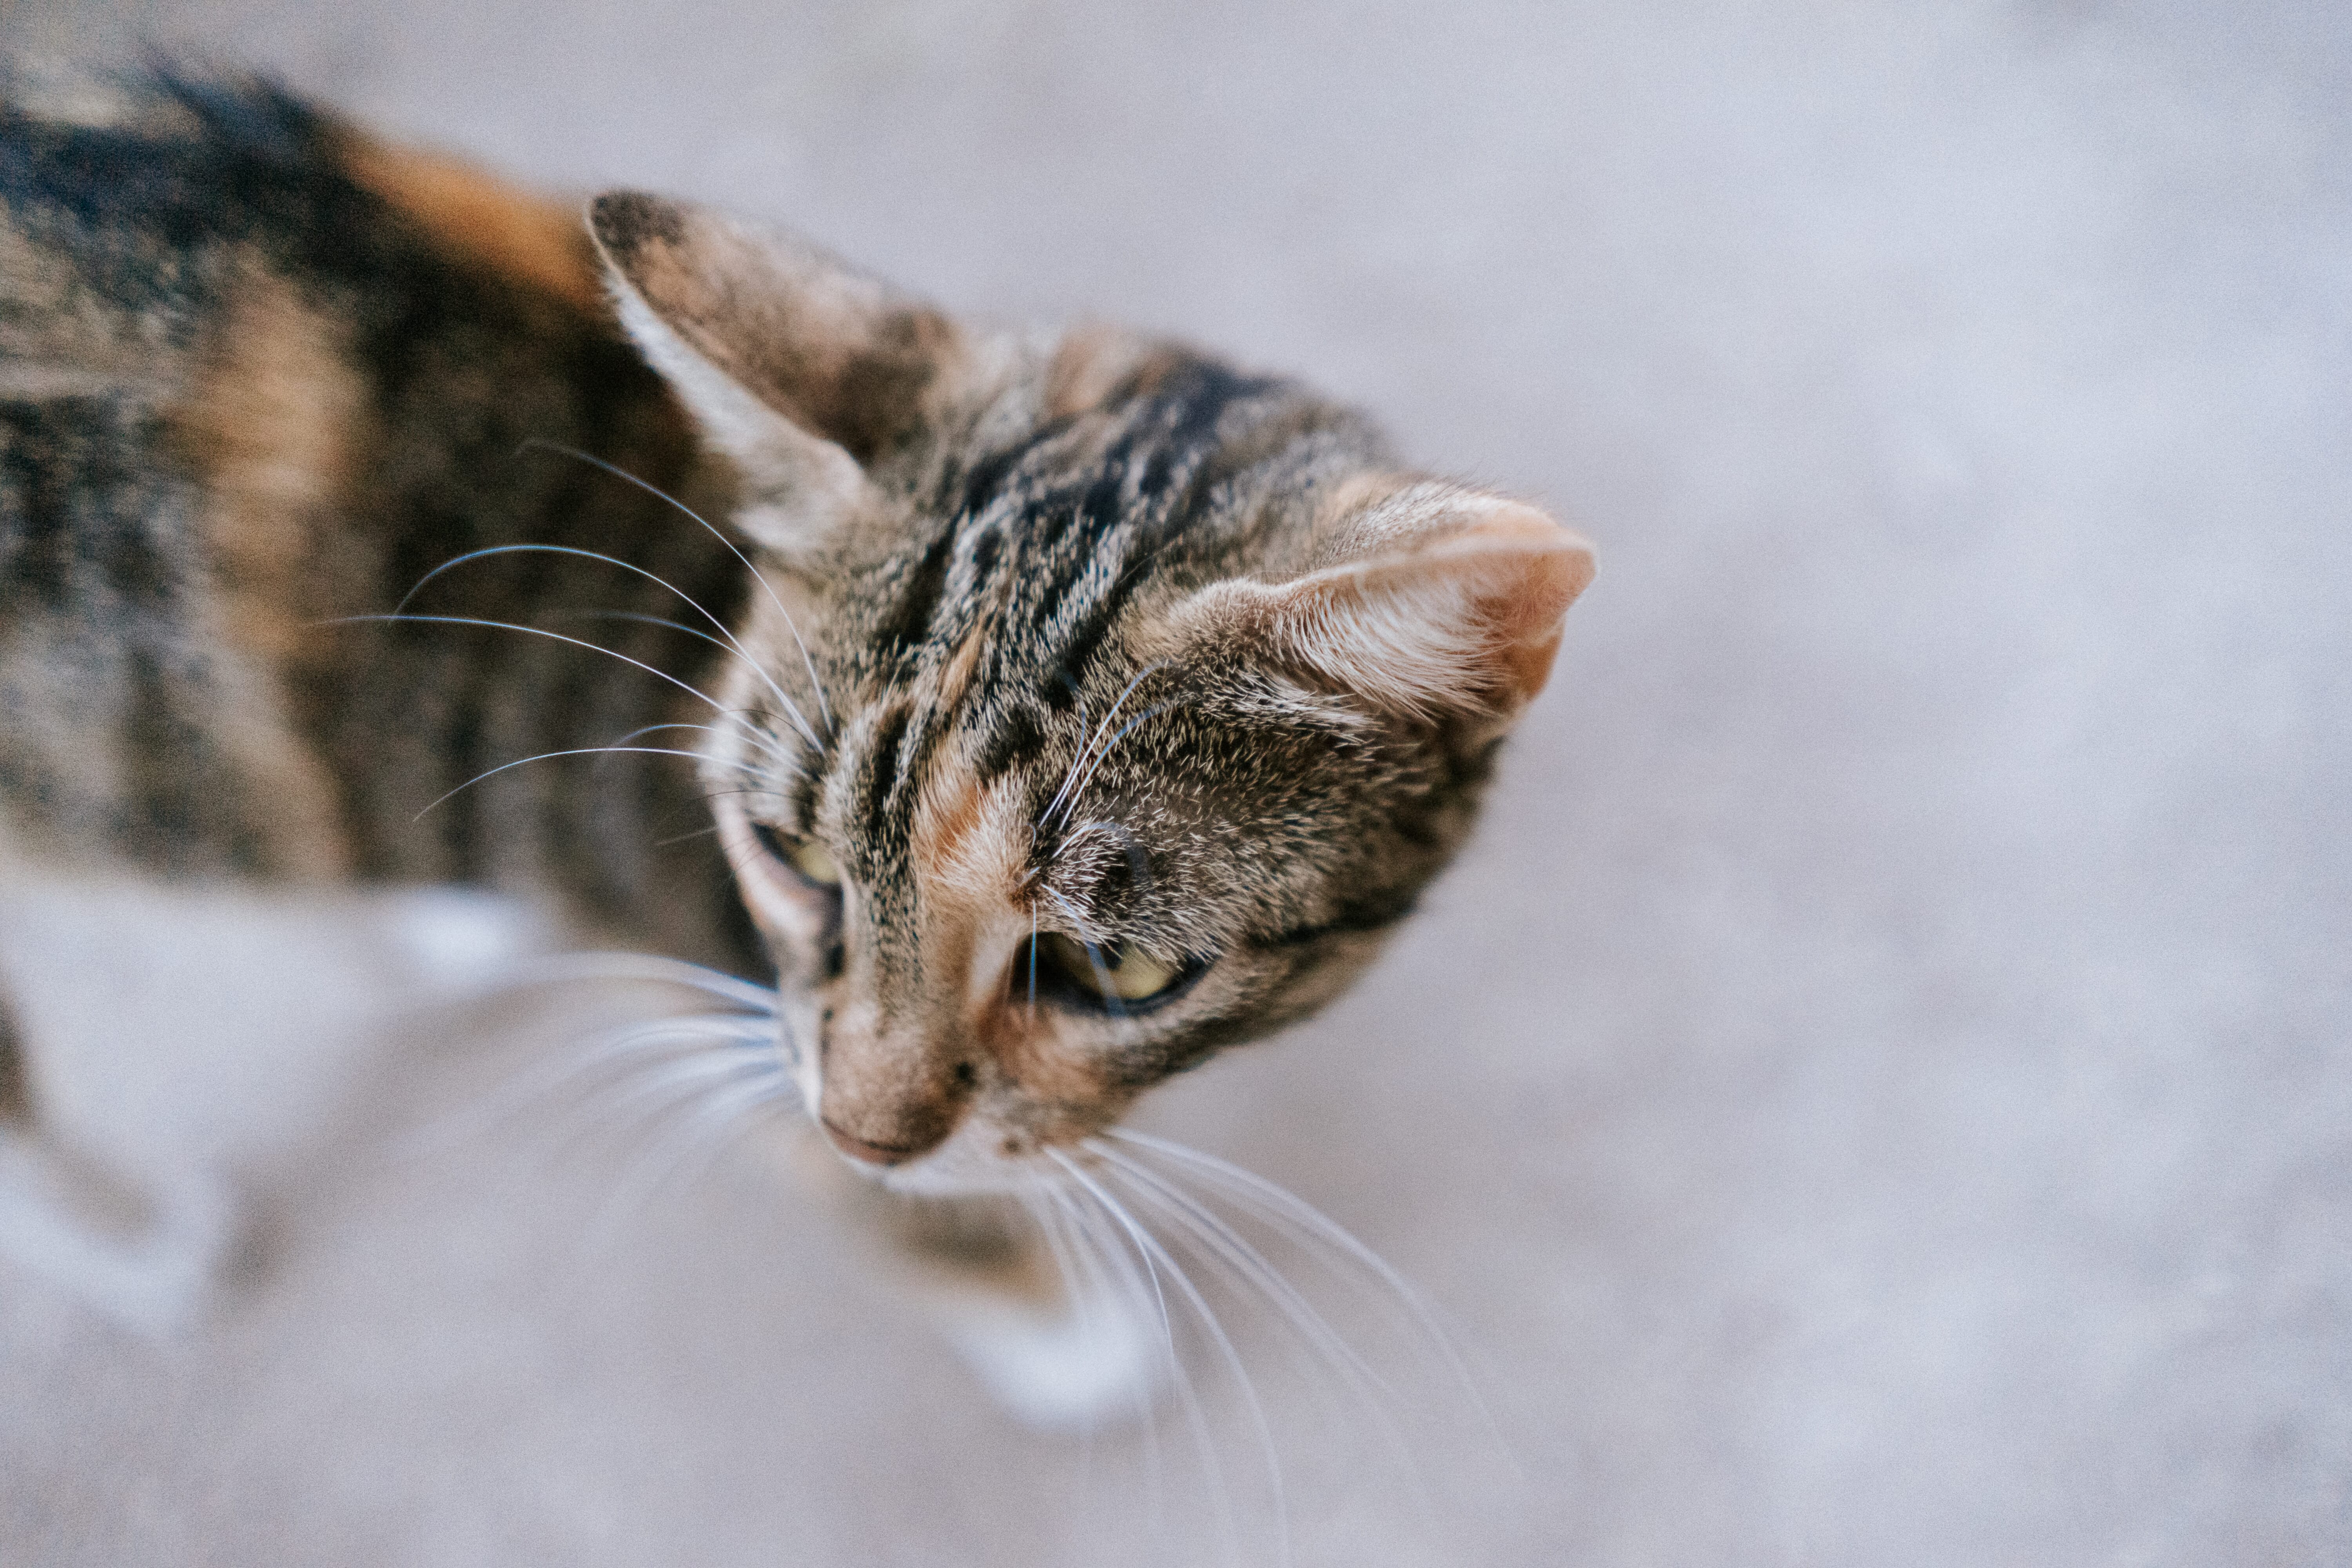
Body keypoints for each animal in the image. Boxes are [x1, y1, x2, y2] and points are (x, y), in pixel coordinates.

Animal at [0, 70, 1590, 1420]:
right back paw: (149, 1237)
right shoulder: (731, 1004)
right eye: (789, 857)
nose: (864, 1132)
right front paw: (1060, 1327)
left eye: (1114, 968)